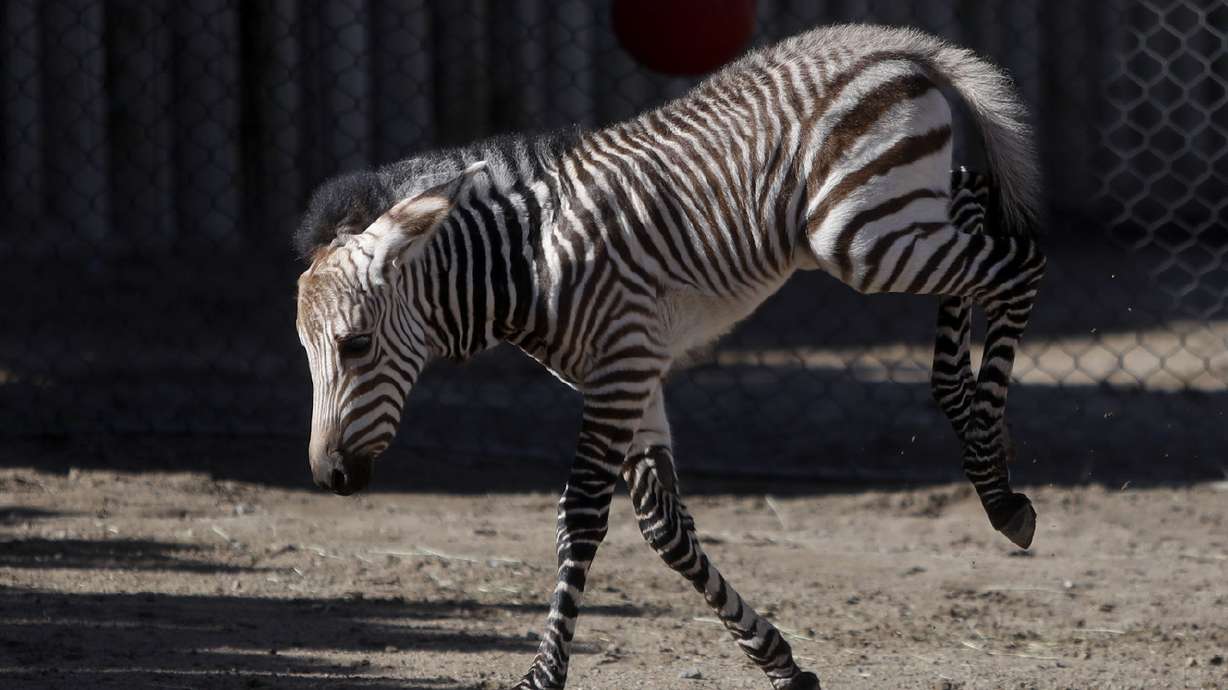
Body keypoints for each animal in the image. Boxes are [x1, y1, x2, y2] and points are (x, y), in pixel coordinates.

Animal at [294, 24, 1045, 690]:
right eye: (306, 352)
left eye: (356, 345)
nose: (329, 476)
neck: (529, 265)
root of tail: (894, 46)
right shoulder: (628, 372)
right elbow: (664, 527)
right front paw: (780, 663)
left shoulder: (620, 369)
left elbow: (582, 518)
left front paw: (543, 676)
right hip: (902, 218)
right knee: (977, 226)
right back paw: (969, 414)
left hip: (862, 235)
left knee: (1019, 267)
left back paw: (992, 475)